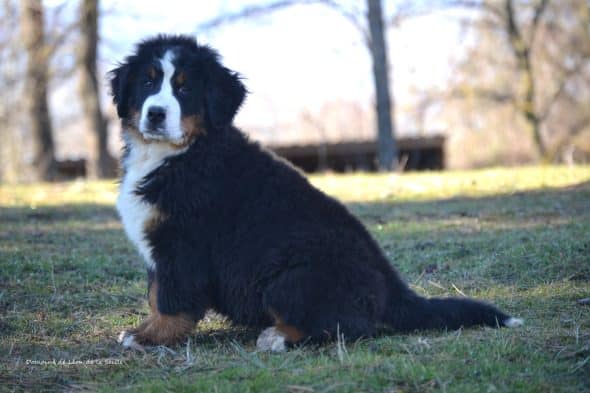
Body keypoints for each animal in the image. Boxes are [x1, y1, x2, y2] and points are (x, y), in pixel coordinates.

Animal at [108, 35, 524, 350]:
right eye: (147, 83)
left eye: (185, 87)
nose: (156, 114)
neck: (180, 154)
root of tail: (392, 286)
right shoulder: (160, 248)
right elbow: (154, 294)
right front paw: (143, 330)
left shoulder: (183, 244)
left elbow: (171, 300)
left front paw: (149, 338)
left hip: (290, 279)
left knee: (348, 327)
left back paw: (278, 338)